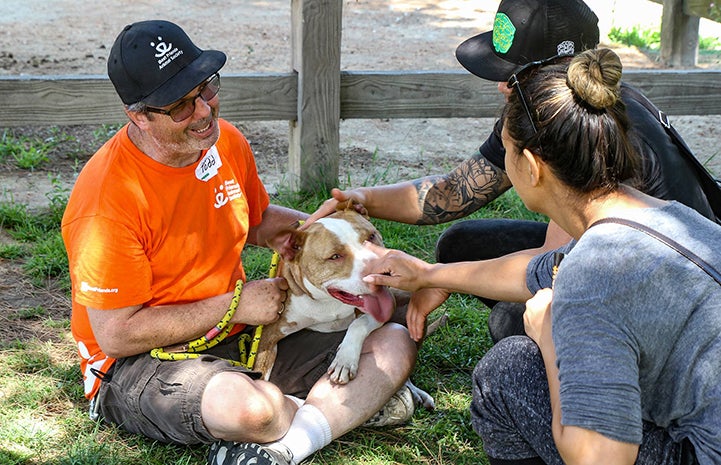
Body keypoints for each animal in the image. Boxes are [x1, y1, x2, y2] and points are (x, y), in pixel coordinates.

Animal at [253, 205, 434, 408]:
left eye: (371, 236)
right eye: (335, 256)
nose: (382, 272)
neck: (327, 303)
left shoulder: (382, 308)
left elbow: (358, 324)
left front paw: (345, 360)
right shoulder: (268, 334)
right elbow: (261, 372)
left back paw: (415, 391)